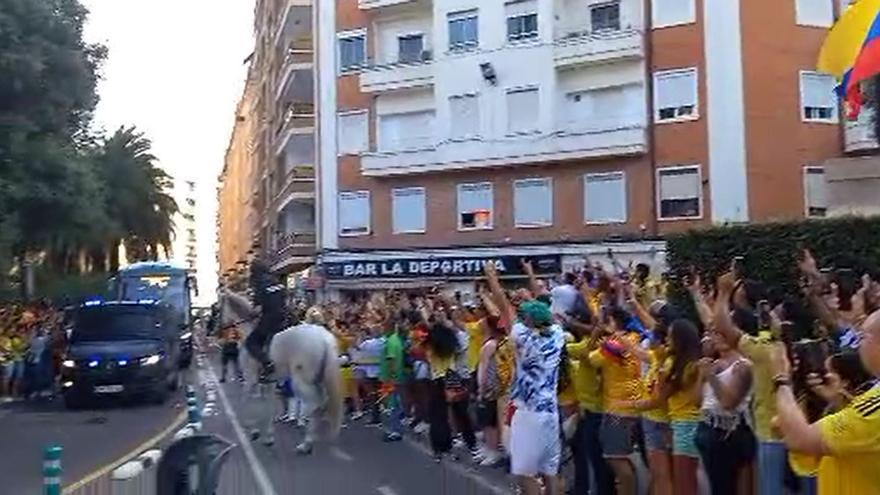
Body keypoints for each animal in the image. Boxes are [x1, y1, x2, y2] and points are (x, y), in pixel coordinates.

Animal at [217, 288, 344, 456]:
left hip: (301, 381)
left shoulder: (250, 378)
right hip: (318, 379)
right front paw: (269, 437)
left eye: (218, 308)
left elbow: (245, 400)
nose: (217, 330)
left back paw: (305, 442)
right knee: (321, 404)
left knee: (315, 404)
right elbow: (269, 405)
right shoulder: (269, 382)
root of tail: (324, 338)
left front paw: (253, 430)